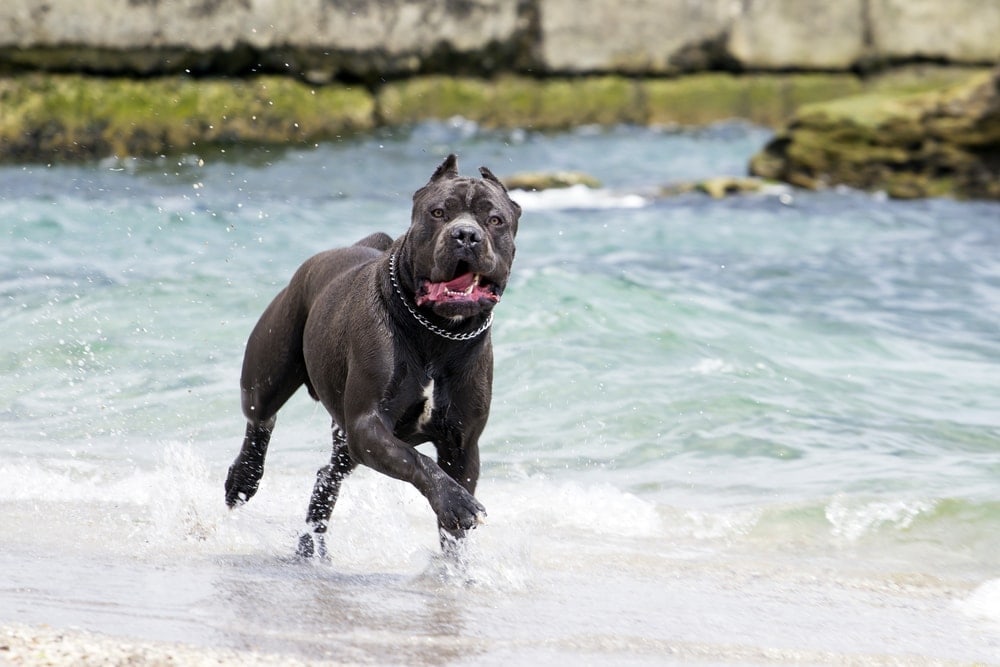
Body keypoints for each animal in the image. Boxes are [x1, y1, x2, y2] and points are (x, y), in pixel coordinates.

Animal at [226, 154, 520, 556]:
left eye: (495, 220)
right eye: (438, 212)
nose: (465, 235)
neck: (439, 332)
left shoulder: (461, 445)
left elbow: (451, 528)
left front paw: (454, 560)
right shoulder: (369, 425)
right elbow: (418, 460)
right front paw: (457, 504)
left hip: (345, 439)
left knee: (327, 475)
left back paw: (309, 547)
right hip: (270, 369)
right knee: (261, 417)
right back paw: (243, 479)